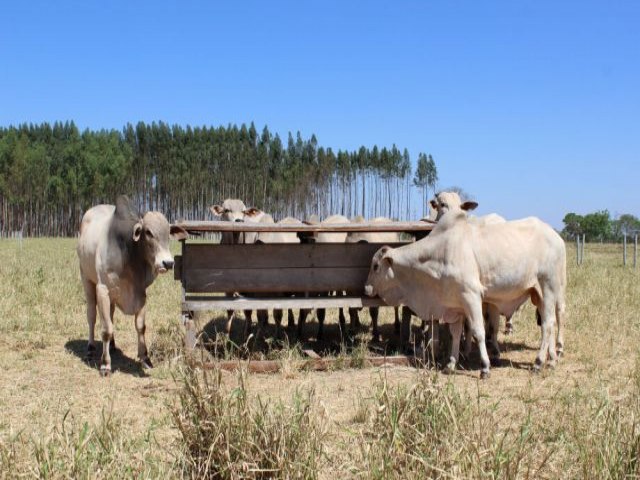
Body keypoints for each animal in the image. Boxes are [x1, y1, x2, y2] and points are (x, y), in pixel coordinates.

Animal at [78, 195, 188, 376]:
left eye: (168, 233)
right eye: (148, 232)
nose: (168, 263)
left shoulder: (141, 293)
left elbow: (140, 327)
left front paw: (145, 359)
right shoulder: (103, 290)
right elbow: (106, 329)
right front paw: (105, 364)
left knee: (111, 315)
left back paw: (113, 345)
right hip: (86, 280)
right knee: (91, 316)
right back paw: (90, 349)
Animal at [364, 206, 564, 378]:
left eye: (375, 266)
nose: (366, 288)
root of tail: (556, 237)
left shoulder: (472, 296)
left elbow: (478, 331)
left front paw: (485, 367)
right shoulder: (455, 304)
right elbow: (456, 333)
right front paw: (451, 364)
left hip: (549, 288)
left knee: (548, 323)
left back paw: (539, 362)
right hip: (537, 294)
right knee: (550, 323)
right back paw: (552, 360)